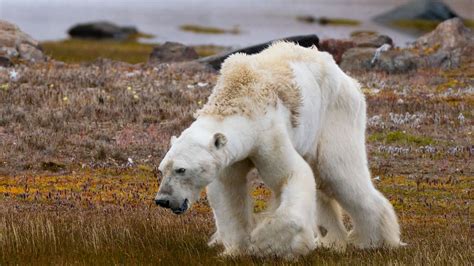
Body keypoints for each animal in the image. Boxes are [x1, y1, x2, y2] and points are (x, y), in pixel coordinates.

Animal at [155, 41, 400, 258]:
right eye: (162, 169)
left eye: (181, 169)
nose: (162, 200)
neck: (239, 99)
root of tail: (348, 79)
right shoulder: (230, 156)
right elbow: (228, 191)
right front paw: (235, 249)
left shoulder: (268, 134)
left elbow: (291, 175)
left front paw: (267, 243)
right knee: (322, 183)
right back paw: (331, 240)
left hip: (336, 113)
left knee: (339, 173)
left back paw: (373, 241)